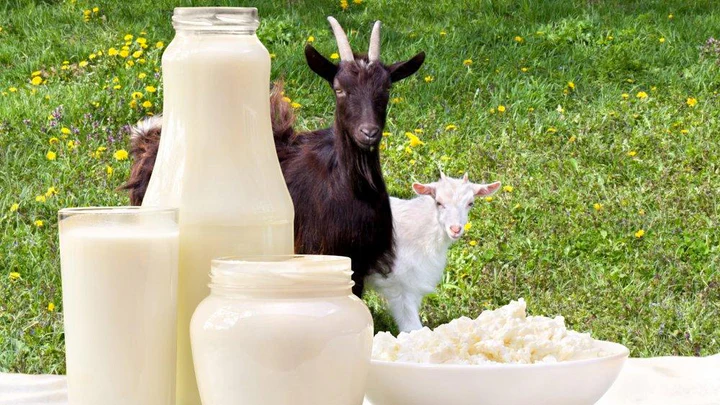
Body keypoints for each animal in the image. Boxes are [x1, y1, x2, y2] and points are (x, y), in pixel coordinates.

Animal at [123, 17, 425, 297]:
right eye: (339, 89)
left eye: (386, 89)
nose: (369, 133)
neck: (351, 187)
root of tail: (147, 140)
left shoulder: (359, 259)